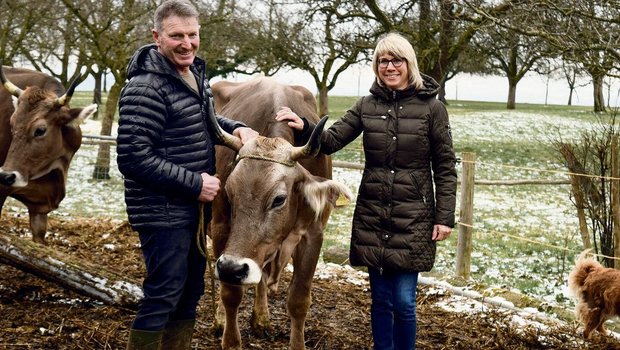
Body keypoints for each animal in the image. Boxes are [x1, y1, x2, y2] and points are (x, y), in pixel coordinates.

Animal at [209, 77, 352, 350]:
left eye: (279, 199)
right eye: (230, 193)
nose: (233, 268)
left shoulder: (313, 233)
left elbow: (298, 300)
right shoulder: (221, 227)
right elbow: (230, 292)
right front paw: (230, 340)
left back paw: (261, 319)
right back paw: (220, 319)